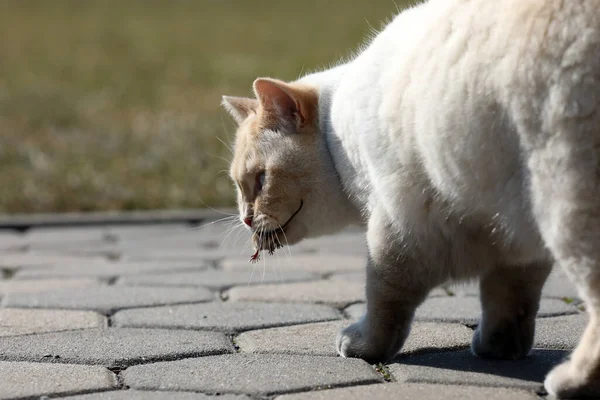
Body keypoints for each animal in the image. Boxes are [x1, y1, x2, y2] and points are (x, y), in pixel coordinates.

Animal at [223, 0, 600, 396]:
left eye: (260, 180)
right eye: (241, 187)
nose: (246, 217)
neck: (334, 132)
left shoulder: (397, 227)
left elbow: (385, 299)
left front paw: (361, 346)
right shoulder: (513, 241)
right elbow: (509, 301)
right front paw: (498, 349)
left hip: (566, 208)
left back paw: (572, 380)